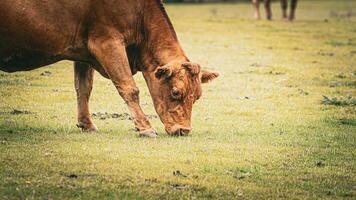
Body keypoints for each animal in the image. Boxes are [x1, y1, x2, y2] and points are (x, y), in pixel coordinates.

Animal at [0, 0, 218, 138]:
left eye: (197, 97)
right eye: (175, 92)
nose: (184, 130)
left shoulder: (83, 49)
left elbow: (84, 88)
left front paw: (86, 124)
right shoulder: (107, 42)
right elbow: (129, 88)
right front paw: (145, 128)